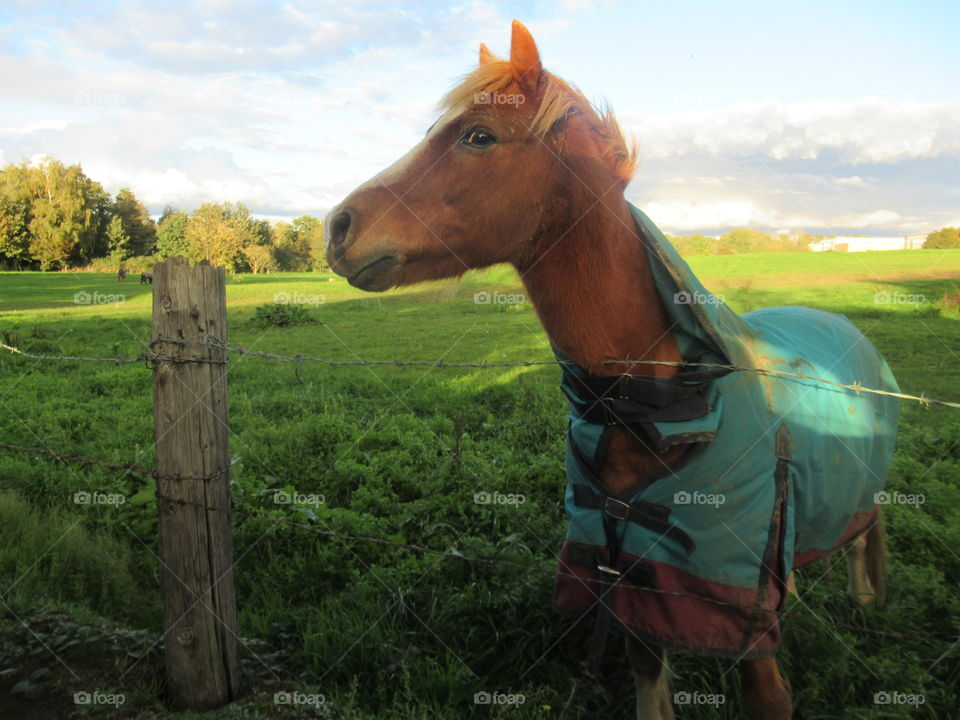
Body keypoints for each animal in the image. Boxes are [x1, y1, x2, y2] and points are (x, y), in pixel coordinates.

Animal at [328, 19, 900, 716]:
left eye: (479, 136)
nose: (336, 227)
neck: (654, 405)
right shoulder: (629, 589)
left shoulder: (749, 631)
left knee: (868, 533)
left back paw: (867, 603)